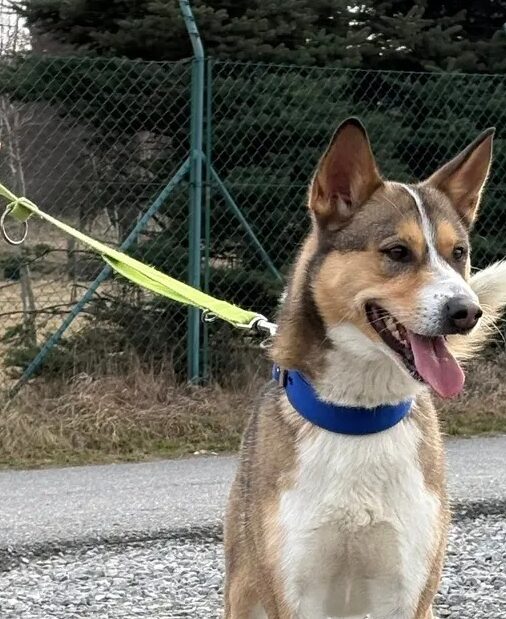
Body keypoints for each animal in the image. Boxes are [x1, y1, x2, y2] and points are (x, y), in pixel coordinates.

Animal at [223, 118, 506, 619]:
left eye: (459, 253)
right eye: (397, 252)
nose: (466, 312)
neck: (358, 415)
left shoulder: (408, 593)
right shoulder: (295, 594)